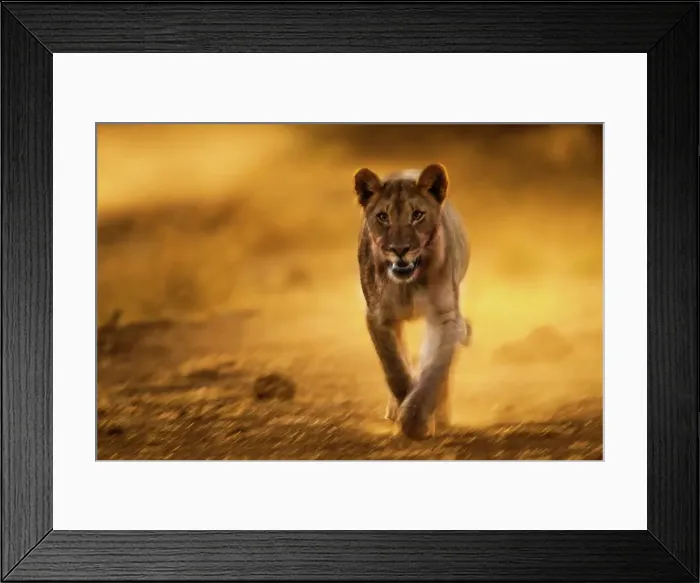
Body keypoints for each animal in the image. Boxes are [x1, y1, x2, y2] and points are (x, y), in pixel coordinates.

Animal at [355, 163, 471, 440]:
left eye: (417, 214)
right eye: (383, 217)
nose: (400, 249)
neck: (408, 284)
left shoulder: (446, 317)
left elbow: (434, 371)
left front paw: (417, 420)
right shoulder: (378, 317)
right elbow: (394, 368)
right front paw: (404, 413)